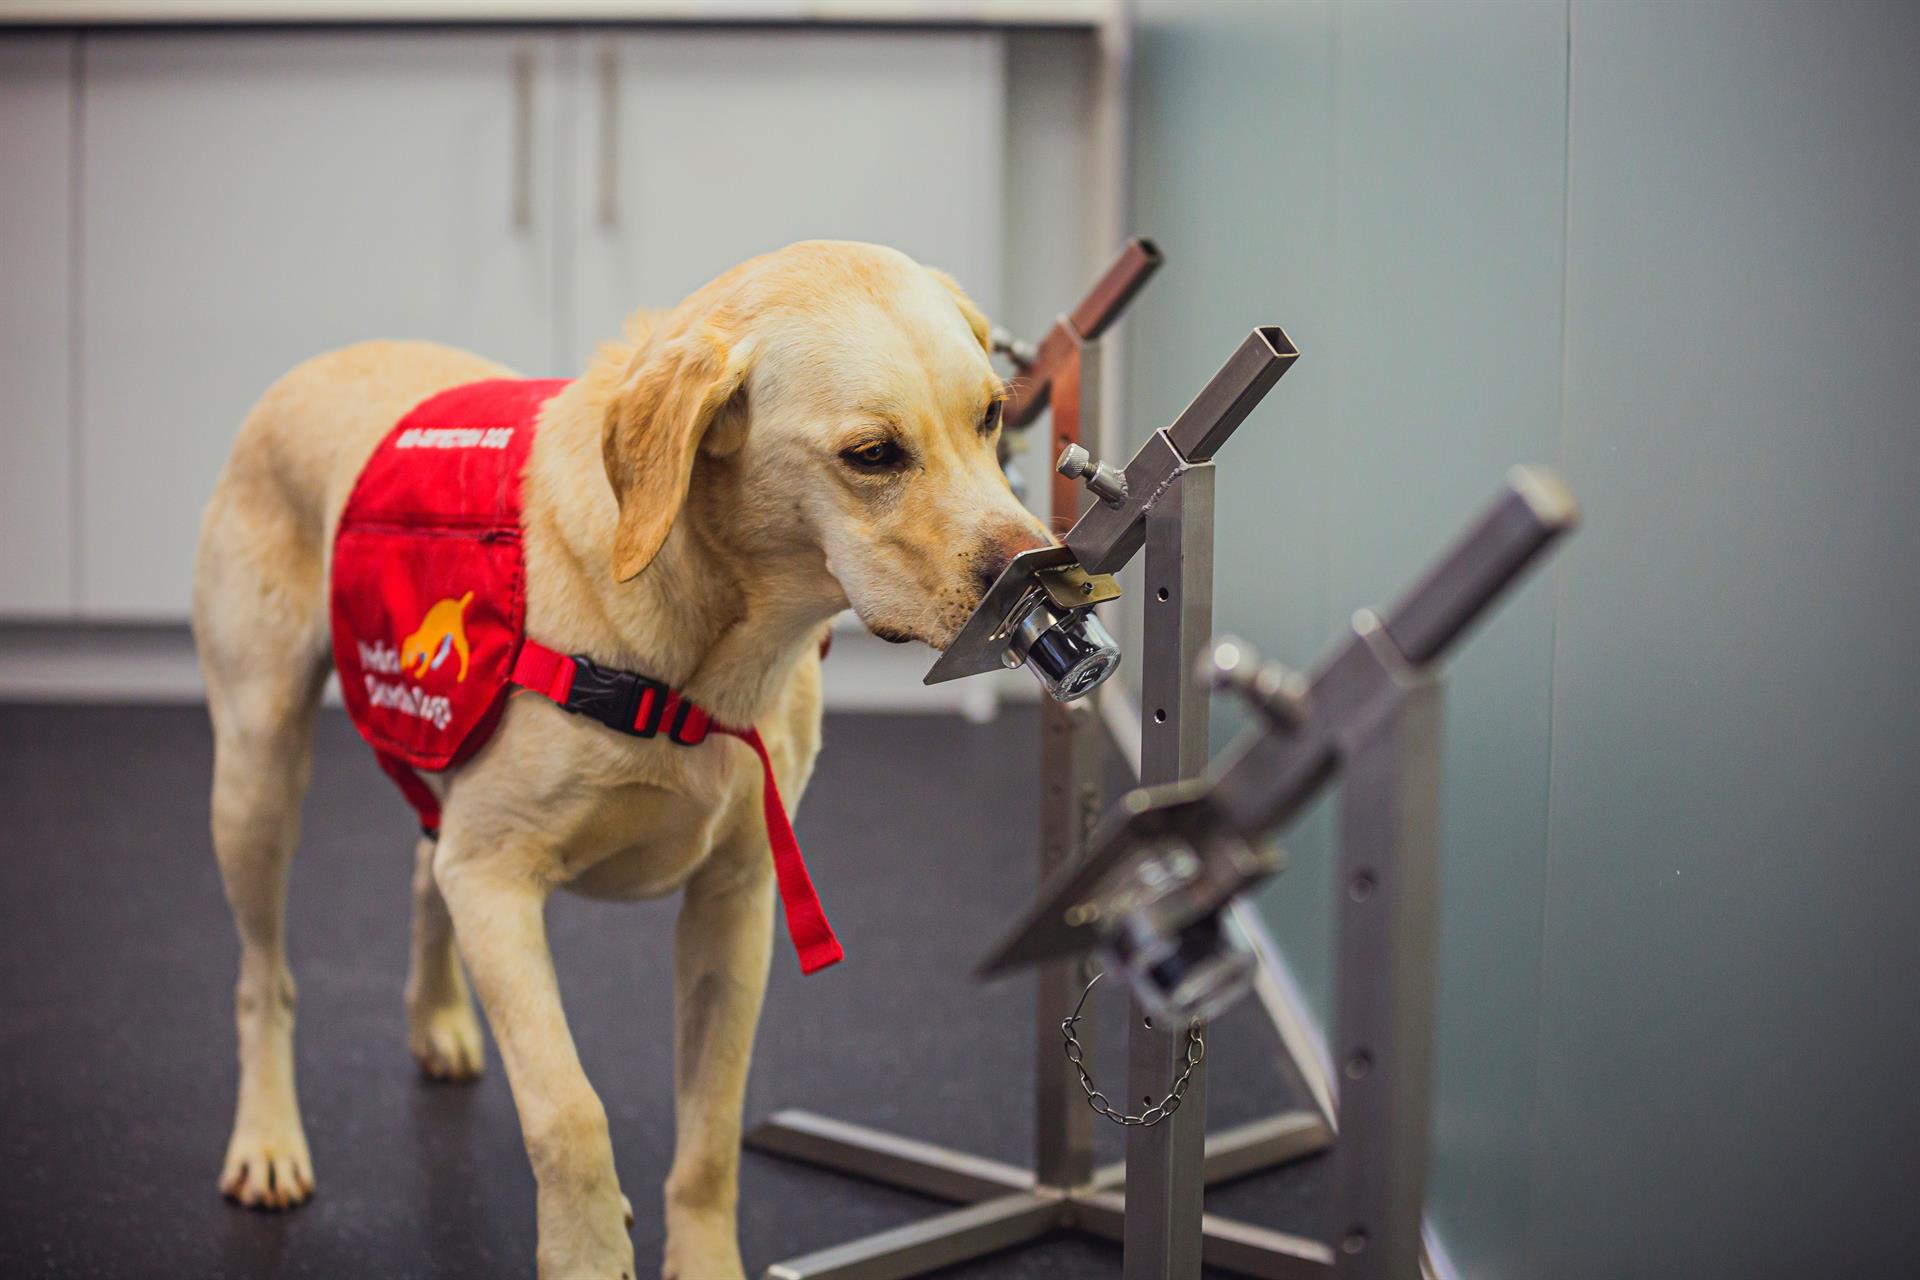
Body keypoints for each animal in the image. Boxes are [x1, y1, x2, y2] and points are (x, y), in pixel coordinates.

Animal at [191, 242, 1052, 1280]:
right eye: (873, 454)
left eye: (993, 414)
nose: (1048, 572)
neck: (713, 655)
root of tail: (312, 366)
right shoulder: (497, 882)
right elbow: (569, 1113)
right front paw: (588, 1251)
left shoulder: (736, 898)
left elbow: (711, 1131)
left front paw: (702, 1257)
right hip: (257, 772)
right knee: (261, 977)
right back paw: (267, 1138)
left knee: (421, 864)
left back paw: (437, 1017)